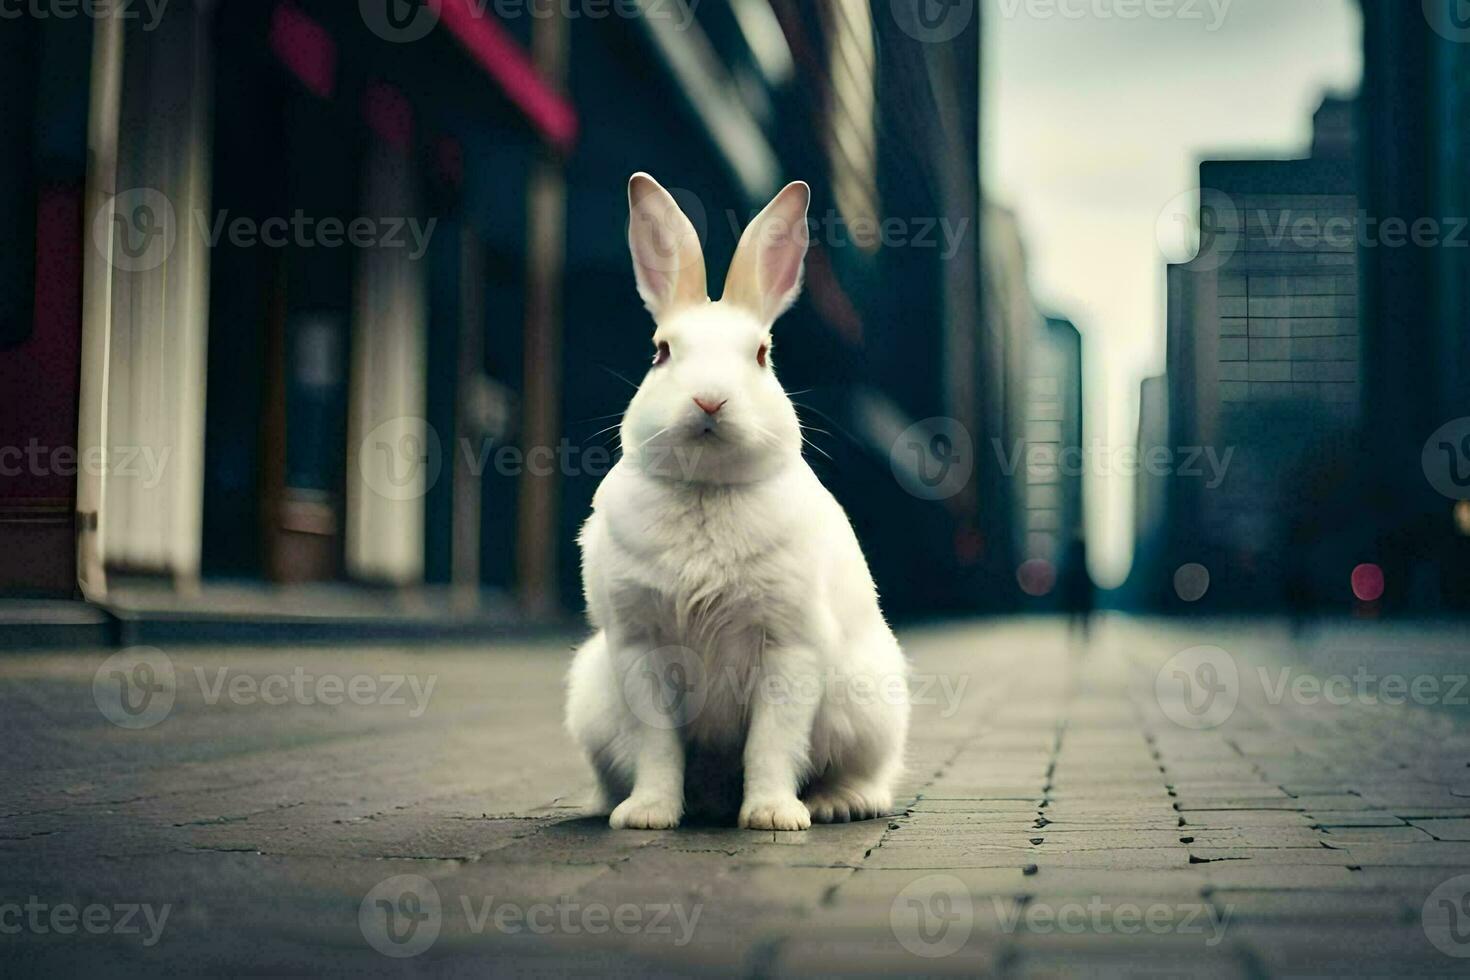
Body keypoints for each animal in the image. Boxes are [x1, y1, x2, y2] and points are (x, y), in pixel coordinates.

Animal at [564, 174, 899, 828]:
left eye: (763, 353)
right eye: (661, 350)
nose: (710, 401)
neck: (706, 490)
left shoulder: (789, 648)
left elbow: (772, 742)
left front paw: (772, 817)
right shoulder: (641, 648)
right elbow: (657, 745)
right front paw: (648, 815)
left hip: (869, 707)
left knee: (864, 772)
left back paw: (840, 804)